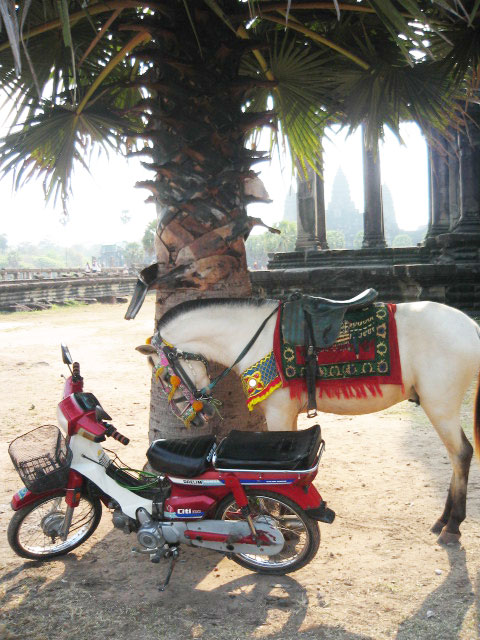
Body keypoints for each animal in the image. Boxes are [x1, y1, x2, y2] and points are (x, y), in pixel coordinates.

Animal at [140, 298, 480, 544]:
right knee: (456, 457)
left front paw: (279, 522)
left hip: (440, 405)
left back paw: (452, 527)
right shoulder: (288, 415)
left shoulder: (278, 412)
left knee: (461, 454)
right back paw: (443, 520)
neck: (252, 338)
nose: (196, 417)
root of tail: (471, 326)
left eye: (166, 376)